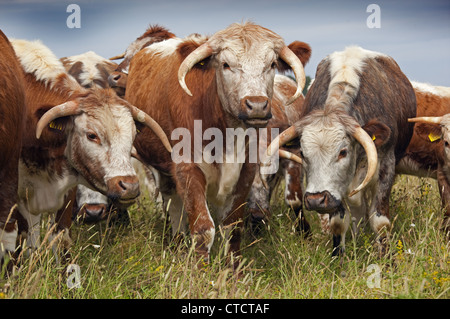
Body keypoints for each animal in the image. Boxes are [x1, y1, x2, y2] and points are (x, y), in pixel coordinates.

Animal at [266, 46, 416, 258]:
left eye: (343, 152)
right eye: (302, 153)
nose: (316, 200)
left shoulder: (386, 167)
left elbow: (380, 222)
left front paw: (386, 258)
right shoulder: (336, 192)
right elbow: (338, 223)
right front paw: (339, 257)